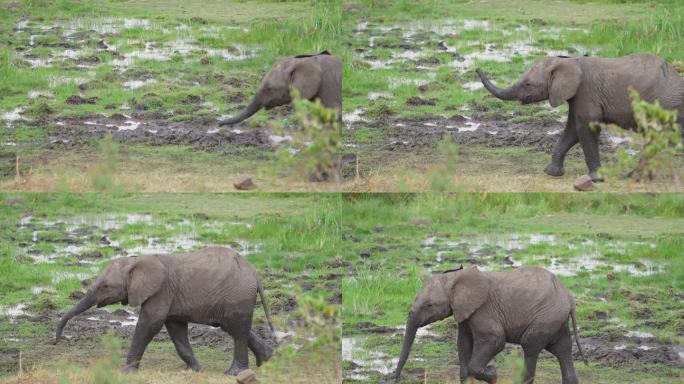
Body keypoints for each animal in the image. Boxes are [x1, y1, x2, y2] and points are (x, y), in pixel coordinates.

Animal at [55, 246, 276, 376]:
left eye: (105, 286)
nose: (57, 341)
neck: (134, 261)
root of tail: (255, 273)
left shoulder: (160, 291)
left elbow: (150, 324)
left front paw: (126, 372)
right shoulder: (170, 297)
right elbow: (175, 329)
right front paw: (194, 370)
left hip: (237, 294)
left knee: (236, 328)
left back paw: (234, 374)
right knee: (234, 326)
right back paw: (267, 360)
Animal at [392, 268, 584, 384]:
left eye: (429, 305)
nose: (396, 378)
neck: (454, 277)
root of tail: (569, 296)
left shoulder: (483, 310)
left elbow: (496, 340)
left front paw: (492, 374)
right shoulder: (464, 312)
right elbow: (463, 344)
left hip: (546, 316)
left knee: (530, 345)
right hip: (555, 318)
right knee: (562, 348)